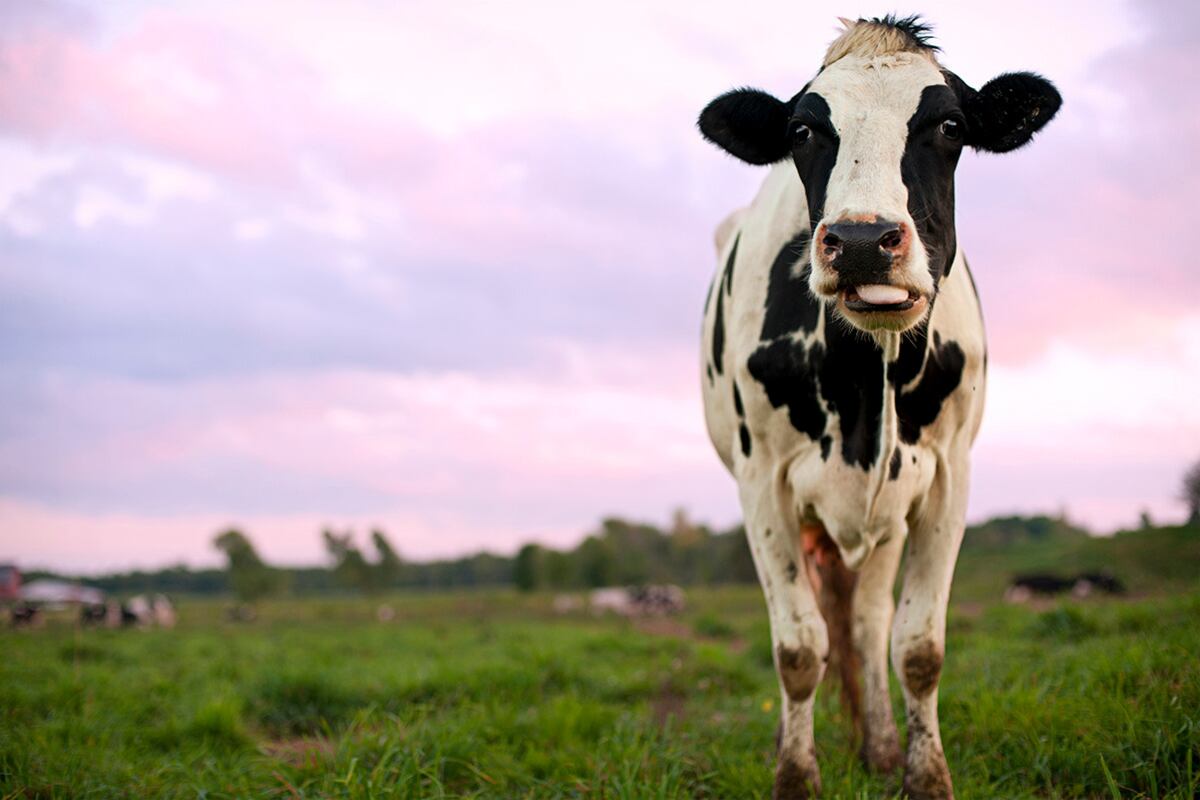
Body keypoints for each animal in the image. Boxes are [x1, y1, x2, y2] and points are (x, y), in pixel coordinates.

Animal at [696, 16, 1060, 799]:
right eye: (803, 130)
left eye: (950, 125)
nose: (863, 241)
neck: (868, 377)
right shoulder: (762, 483)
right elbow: (798, 649)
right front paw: (795, 777)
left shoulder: (948, 476)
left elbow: (917, 647)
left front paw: (925, 775)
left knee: (865, 623)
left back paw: (883, 746)